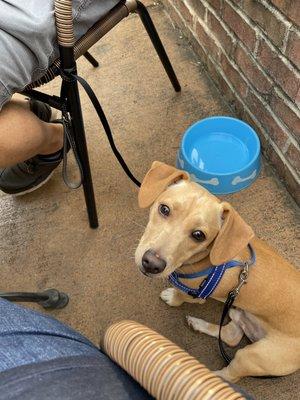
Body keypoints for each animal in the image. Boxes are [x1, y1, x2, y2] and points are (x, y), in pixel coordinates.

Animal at [136, 162, 300, 382]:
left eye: (199, 235)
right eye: (164, 209)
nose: (151, 264)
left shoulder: (196, 295)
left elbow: (180, 295)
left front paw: (172, 297)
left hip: (254, 356)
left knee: (230, 376)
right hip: (239, 314)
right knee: (231, 336)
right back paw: (198, 324)